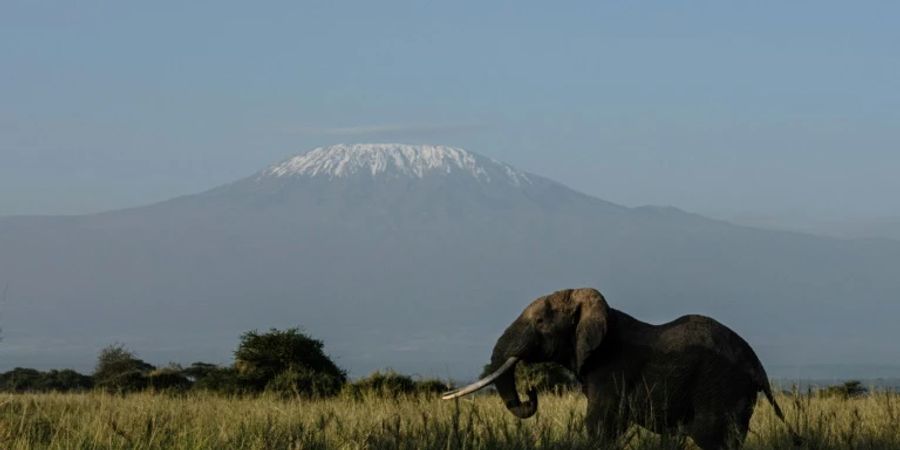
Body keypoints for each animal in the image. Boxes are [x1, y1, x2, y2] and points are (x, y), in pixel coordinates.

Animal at [442, 288, 796, 450]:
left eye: (541, 321)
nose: (531, 392)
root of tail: (757, 366)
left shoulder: (612, 368)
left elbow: (599, 424)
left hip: (721, 387)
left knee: (712, 438)